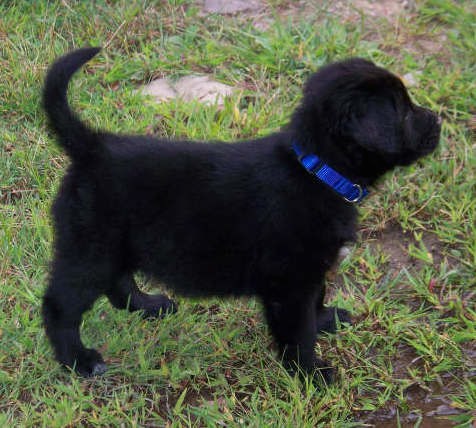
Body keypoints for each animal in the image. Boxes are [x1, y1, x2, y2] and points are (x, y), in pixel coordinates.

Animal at [42, 47, 440, 382]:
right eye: (404, 111)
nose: (437, 119)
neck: (316, 170)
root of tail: (93, 146)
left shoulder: (311, 273)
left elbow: (318, 298)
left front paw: (325, 319)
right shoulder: (290, 284)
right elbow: (299, 334)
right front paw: (311, 373)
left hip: (115, 245)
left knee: (119, 281)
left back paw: (147, 305)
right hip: (90, 250)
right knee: (60, 306)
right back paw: (79, 361)